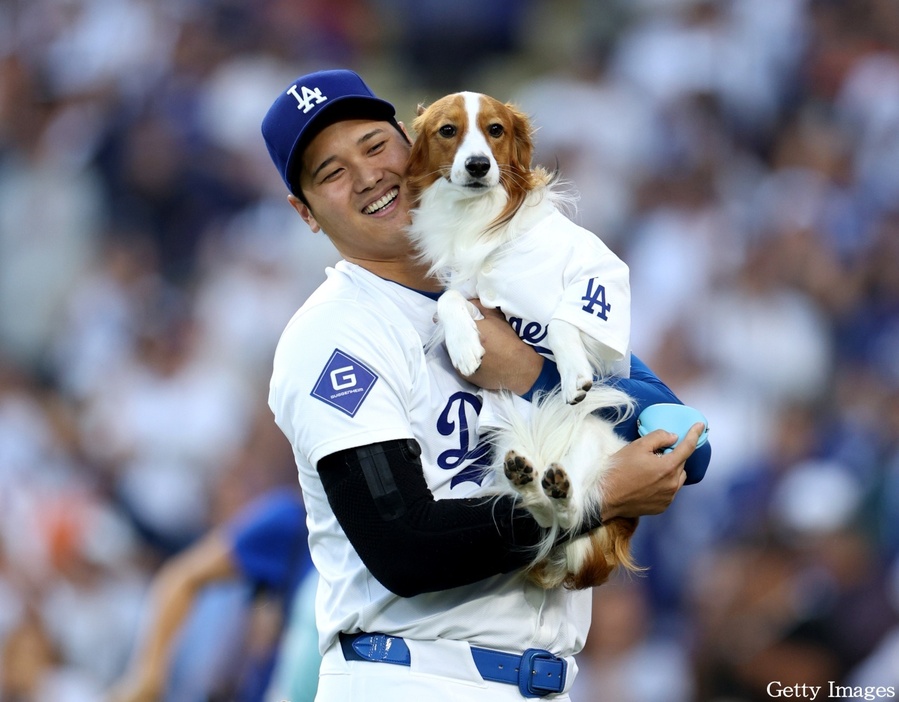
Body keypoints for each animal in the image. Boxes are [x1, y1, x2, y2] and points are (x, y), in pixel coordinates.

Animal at [404, 91, 644, 592]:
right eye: (447, 130)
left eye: (495, 130)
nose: (478, 165)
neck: (480, 220)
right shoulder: (467, 286)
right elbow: (451, 297)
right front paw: (465, 345)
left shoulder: (598, 280)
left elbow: (561, 320)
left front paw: (574, 376)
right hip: (505, 450)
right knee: (538, 512)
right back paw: (530, 482)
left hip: (594, 444)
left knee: (572, 510)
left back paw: (557, 488)